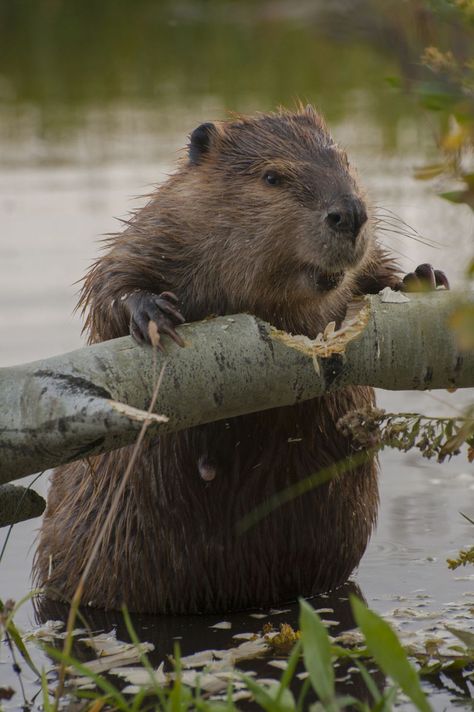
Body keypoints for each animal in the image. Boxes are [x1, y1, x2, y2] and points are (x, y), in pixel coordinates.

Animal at [34, 104, 448, 612]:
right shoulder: (161, 227)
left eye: (346, 160)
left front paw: (423, 276)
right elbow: (110, 282)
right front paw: (152, 313)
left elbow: (373, 271)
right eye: (272, 176)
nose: (350, 213)